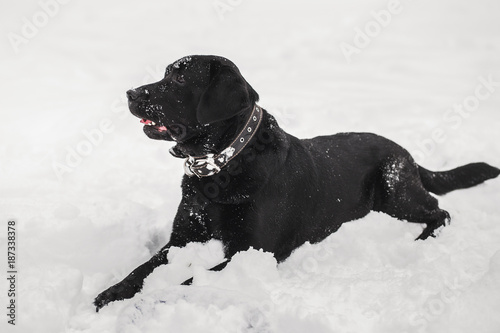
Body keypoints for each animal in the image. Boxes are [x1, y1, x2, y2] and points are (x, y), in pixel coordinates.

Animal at [94, 55, 500, 312]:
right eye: (165, 73)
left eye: (179, 78)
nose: (130, 93)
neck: (225, 165)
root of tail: (408, 155)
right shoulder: (180, 239)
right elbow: (141, 270)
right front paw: (111, 294)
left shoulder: (252, 251)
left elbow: (191, 279)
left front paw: (150, 302)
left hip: (394, 190)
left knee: (441, 211)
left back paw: (422, 240)